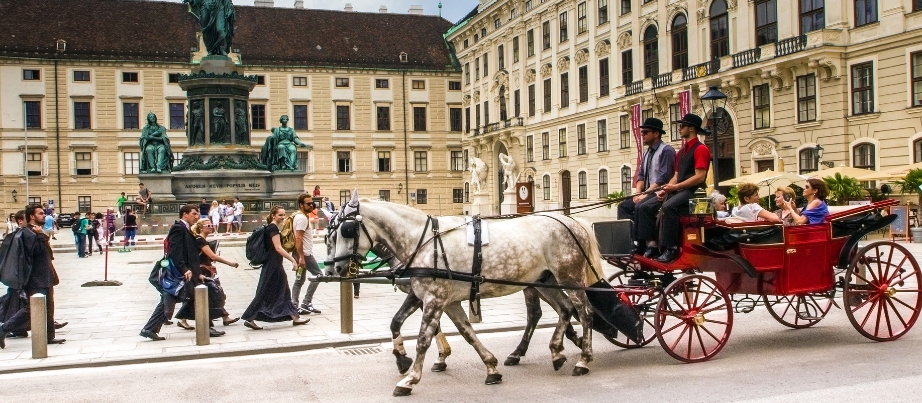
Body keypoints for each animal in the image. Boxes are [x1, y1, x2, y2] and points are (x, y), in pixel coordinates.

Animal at [328, 194, 600, 396]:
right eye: (330, 236)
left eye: (347, 230)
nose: (336, 269)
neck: (423, 241)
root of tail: (572, 221)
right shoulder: (436, 298)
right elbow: (461, 331)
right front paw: (490, 367)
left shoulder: (435, 299)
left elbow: (423, 339)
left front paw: (410, 378)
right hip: (544, 281)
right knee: (564, 309)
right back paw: (555, 351)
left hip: (568, 278)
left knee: (584, 312)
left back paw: (583, 359)